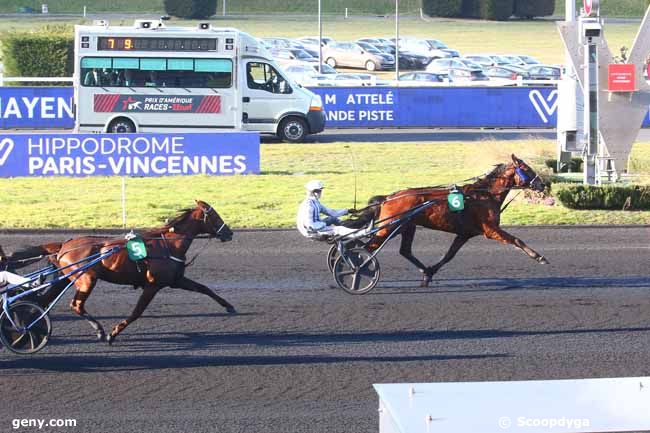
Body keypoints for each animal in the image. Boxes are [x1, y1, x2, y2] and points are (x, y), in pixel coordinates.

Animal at [8, 200, 235, 344]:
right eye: (215, 216)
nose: (229, 233)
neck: (169, 245)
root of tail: (65, 244)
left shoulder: (176, 279)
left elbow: (204, 288)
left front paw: (229, 306)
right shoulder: (153, 285)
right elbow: (137, 312)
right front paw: (113, 334)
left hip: (68, 278)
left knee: (42, 301)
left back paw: (27, 327)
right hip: (87, 279)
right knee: (76, 305)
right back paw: (99, 331)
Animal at [368, 154, 544, 286]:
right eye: (527, 169)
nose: (542, 184)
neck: (485, 195)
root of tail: (387, 197)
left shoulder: (465, 234)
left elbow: (449, 255)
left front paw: (429, 273)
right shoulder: (490, 229)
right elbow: (516, 240)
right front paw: (538, 257)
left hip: (407, 227)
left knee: (405, 251)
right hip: (389, 227)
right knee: (369, 247)